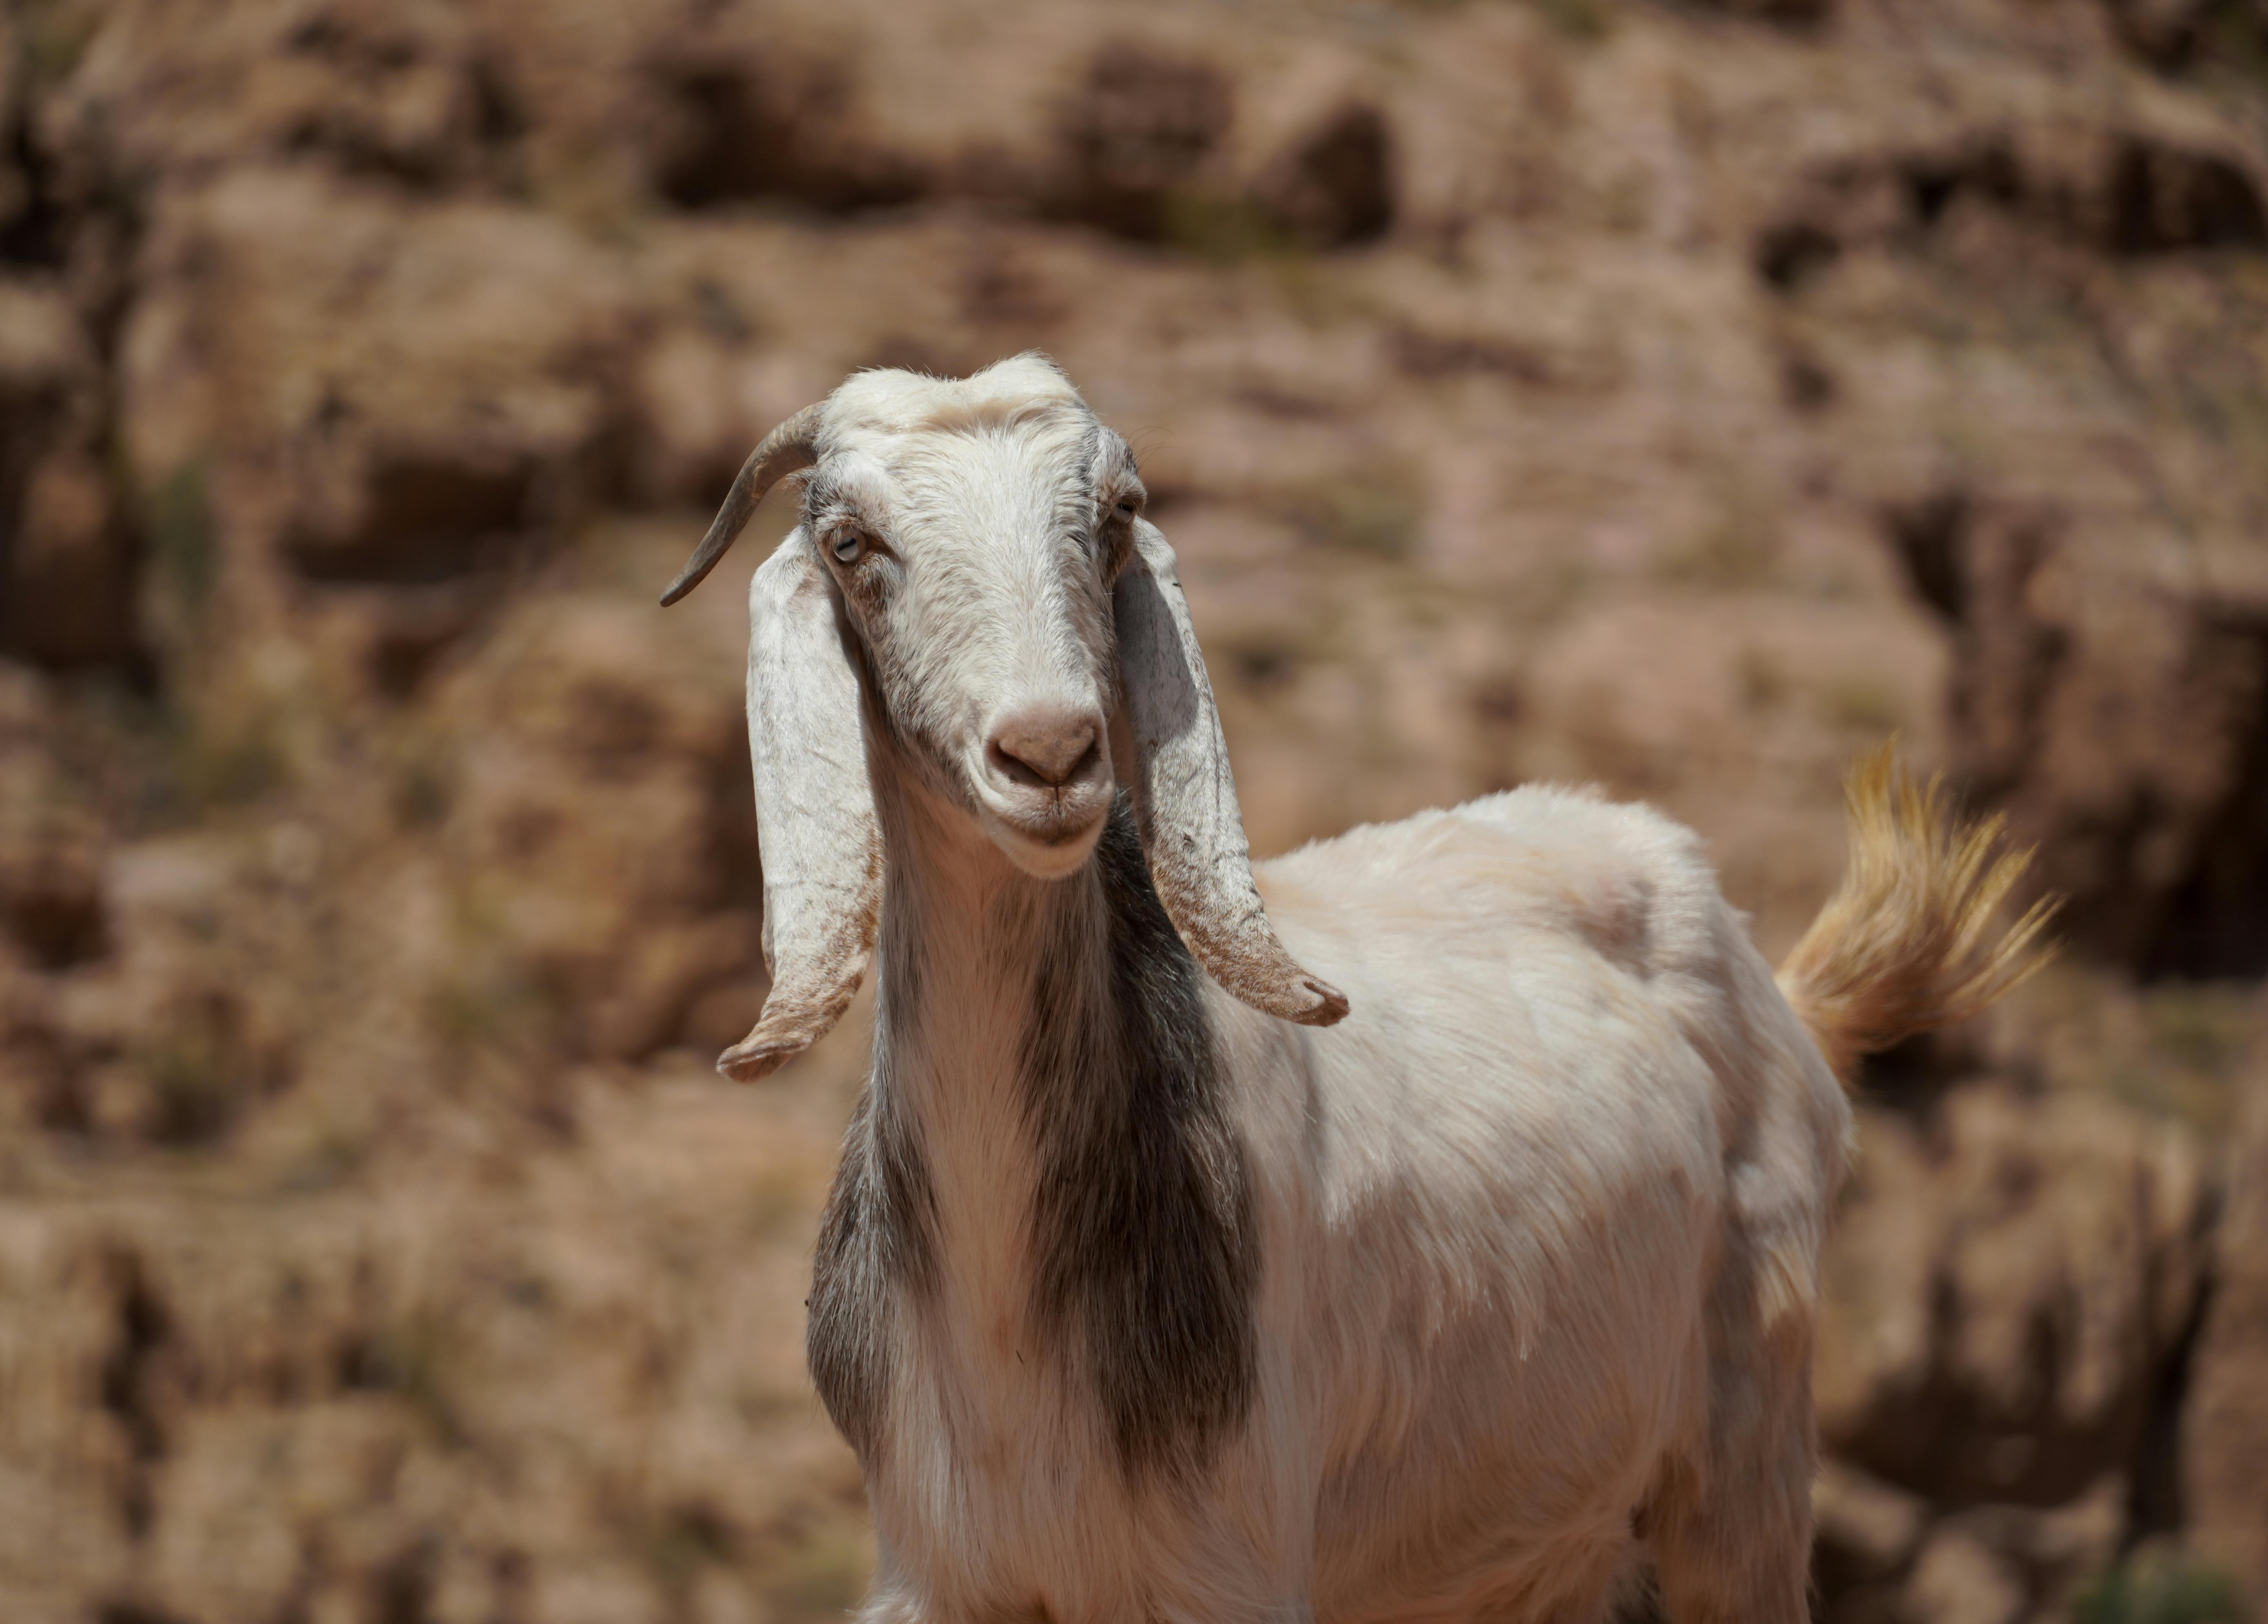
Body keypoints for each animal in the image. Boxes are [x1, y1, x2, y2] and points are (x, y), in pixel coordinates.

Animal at [657, 356, 2059, 1624]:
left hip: (1745, 1462)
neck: (1011, 1330)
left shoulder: (1226, 1569)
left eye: (1111, 519)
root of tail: (1776, 981)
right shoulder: (940, 1574)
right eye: (849, 542)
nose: (1049, 756)